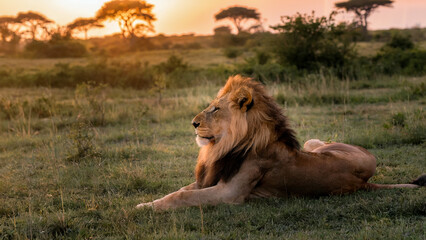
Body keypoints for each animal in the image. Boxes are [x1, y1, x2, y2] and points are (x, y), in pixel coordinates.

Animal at [137, 75, 426, 210]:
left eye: (216, 109)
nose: (193, 123)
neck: (225, 145)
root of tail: (363, 183)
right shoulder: (210, 179)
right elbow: (177, 191)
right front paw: (148, 202)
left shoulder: (229, 192)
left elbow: (182, 196)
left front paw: (144, 207)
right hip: (312, 143)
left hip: (318, 143)